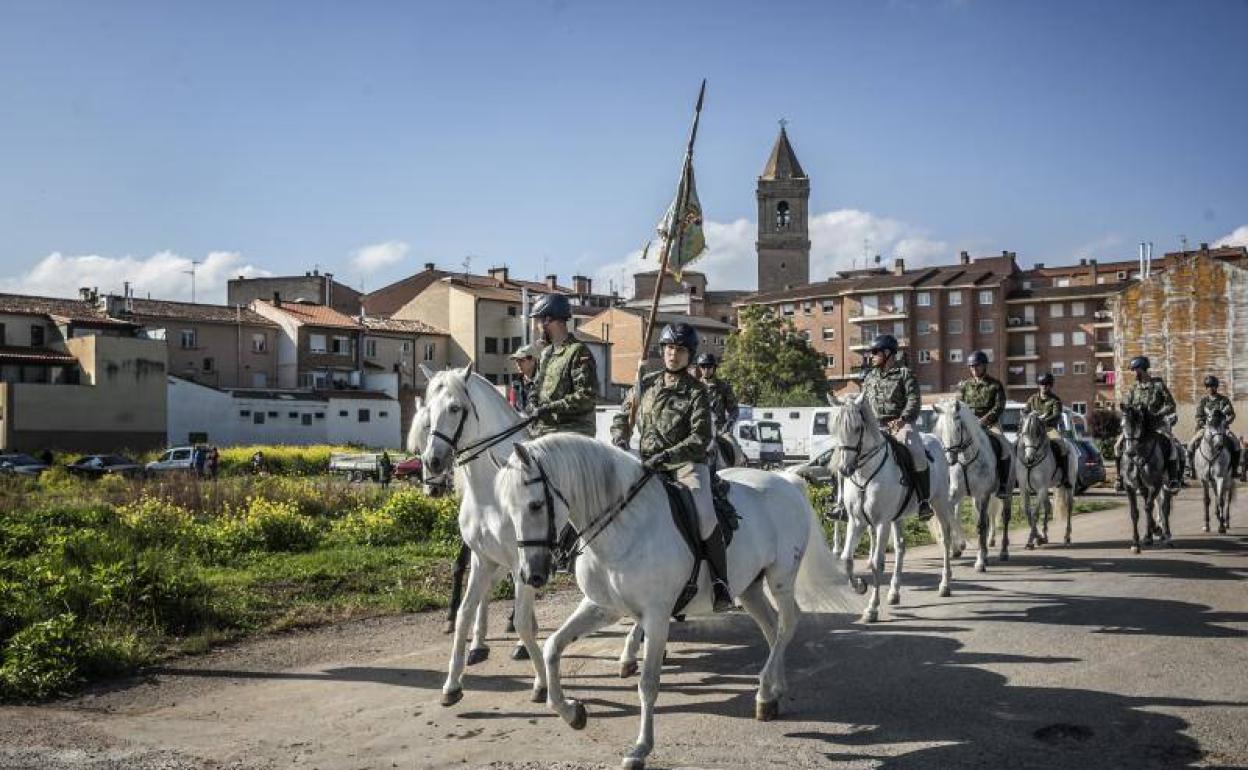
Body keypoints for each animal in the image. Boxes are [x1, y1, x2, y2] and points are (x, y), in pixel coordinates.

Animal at [419, 364, 546, 703]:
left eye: (454, 408)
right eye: (427, 413)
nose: (433, 462)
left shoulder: (521, 562)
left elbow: (523, 617)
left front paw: (540, 678)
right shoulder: (483, 557)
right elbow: (465, 610)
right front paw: (453, 681)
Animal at [491, 431, 853, 768]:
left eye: (535, 505)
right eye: (507, 510)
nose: (531, 575)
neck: (625, 526)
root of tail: (787, 481)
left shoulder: (656, 616)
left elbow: (648, 683)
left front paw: (640, 748)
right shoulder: (602, 607)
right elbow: (553, 647)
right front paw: (572, 712)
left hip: (781, 580)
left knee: (788, 623)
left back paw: (765, 692)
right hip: (749, 588)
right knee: (772, 627)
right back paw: (773, 690)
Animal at [828, 396, 953, 618]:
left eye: (858, 428)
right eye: (835, 428)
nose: (844, 469)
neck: (865, 474)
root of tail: (935, 440)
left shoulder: (881, 523)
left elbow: (877, 562)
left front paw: (872, 608)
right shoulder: (856, 521)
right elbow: (847, 558)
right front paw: (860, 586)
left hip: (940, 504)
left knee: (946, 540)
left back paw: (945, 585)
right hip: (898, 517)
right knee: (901, 547)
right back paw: (894, 592)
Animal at [933, 401, 1008, 571]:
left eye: (958, 428)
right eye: (941, 430)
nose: (949, 459)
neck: (967, 459)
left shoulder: (983, 494)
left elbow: (981, 525)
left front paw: (980, 562)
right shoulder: (955, 494)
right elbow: (953, 516)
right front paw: (960, 545)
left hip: (1006, 493)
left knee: (1004, 518)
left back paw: (1003, 552)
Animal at [1013, 411, 1073, 549]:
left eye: (1037, 433)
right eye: (1024, 433)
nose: (1029, 458)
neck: (1031, 464)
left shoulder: (1041, 489)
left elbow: (1034, 513)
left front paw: (1031, 540)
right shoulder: (1024, 489)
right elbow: (1027, 512)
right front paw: (1038, 537)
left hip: (1068, 485)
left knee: (1069, 507)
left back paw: (1067, 536)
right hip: (1046, 489)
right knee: (1047, 507)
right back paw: (1044, 536)